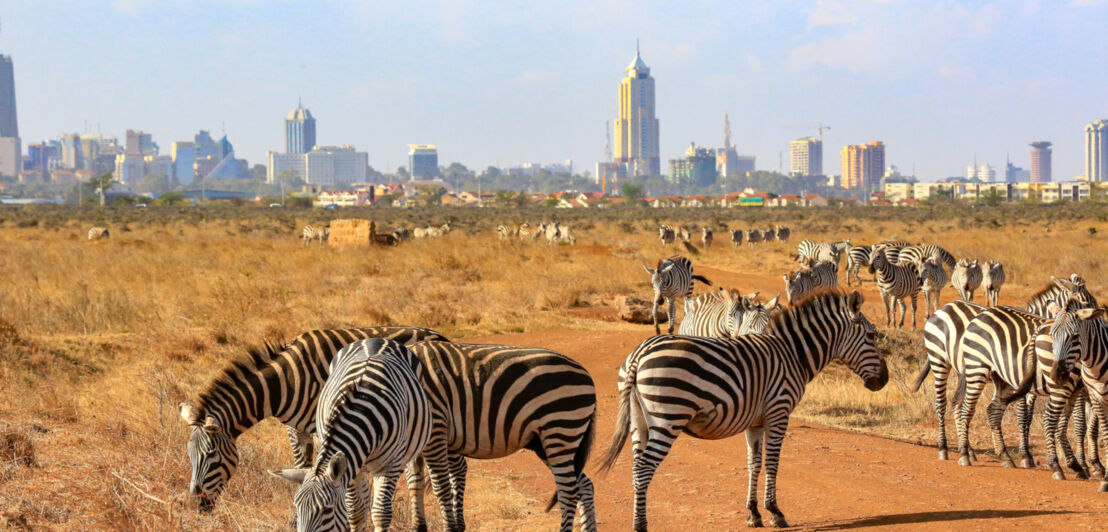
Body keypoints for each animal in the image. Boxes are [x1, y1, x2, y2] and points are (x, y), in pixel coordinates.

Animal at [272, 341, 432, 532]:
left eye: (326, 509)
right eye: (297, 506)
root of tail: (376, 339)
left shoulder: (389, 465)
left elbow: (381, 514)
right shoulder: (351, 467)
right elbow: (355, 513)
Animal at [403, 341, 598, 532]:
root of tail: (586, 374)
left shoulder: (436, 429)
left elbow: (440, 487)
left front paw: (448, 527)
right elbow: (414, 483)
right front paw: (417, 527)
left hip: (560, 428)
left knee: (569, 491)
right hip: (546, 442)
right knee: (584, 485)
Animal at [602, 292, 886, 529]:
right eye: (872, 336)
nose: (884, 380)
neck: (793, 354)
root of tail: (641, 353)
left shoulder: (755, 422)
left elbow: (754, 464)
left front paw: (753, 513)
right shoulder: (778, 412)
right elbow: (772, 463)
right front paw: (775, 512)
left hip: (638, 420)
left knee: (636, 467)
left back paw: (637, 520)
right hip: (668, 418)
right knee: (643, 468)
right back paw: (641, 525)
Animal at [908, 275, 1099, 463]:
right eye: (1088, 303)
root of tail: (945, 307)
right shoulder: (1023, 378)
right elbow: (1025, 416)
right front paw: (1026, 455)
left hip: (965, 371)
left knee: (957, 403)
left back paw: (969, 450)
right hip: (940, 361)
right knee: (942, 404)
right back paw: (944, 448)